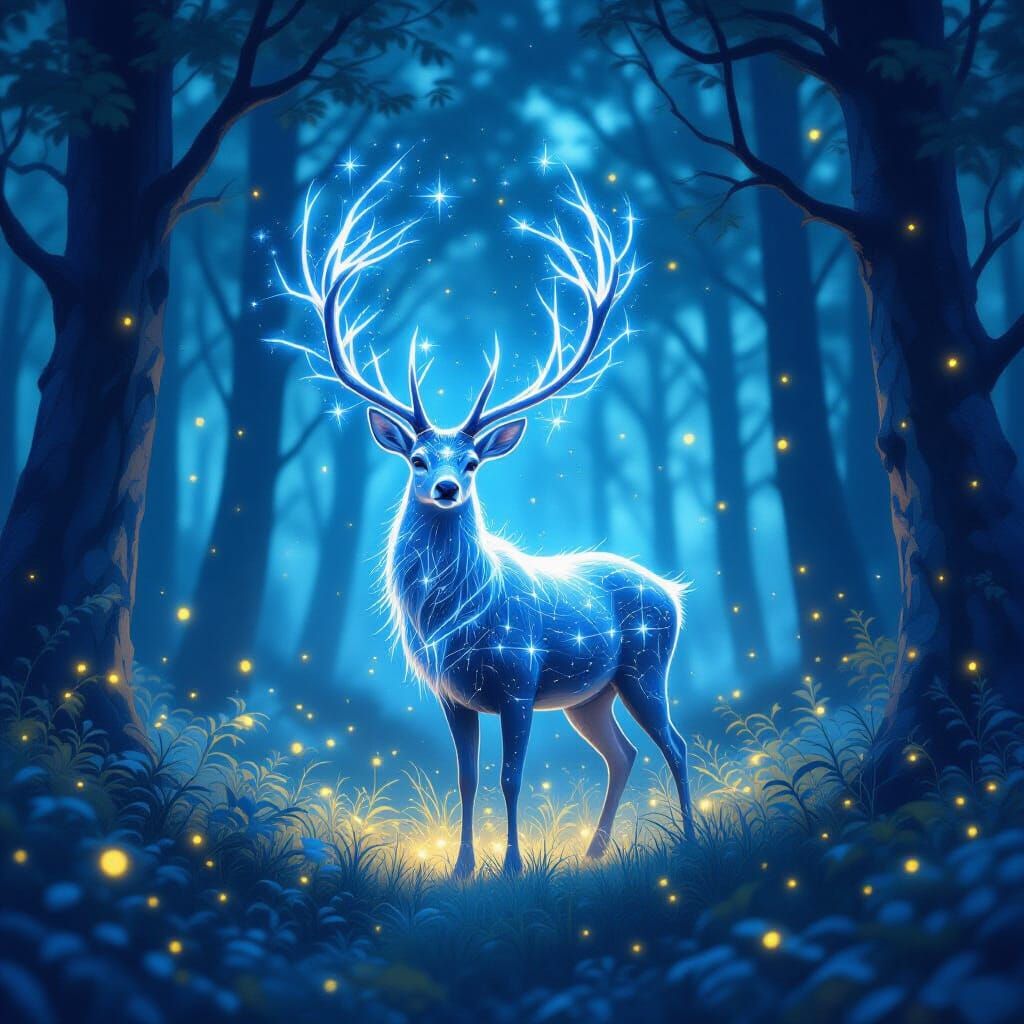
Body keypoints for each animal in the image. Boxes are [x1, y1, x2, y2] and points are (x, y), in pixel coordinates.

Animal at [276, 157, 694, 877]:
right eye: (417, 457)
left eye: (472, 462)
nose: (445, 487)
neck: (457, 620)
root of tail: (672, 590)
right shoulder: (452, 694)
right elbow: (467, 777)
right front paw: (464, 867)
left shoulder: (519, 682)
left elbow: (511, 776)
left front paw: (514, 868)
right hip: (590, 694)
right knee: (623, 753)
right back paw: (594, 850)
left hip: (644, 667)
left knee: (675, 745)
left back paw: (692, 840)